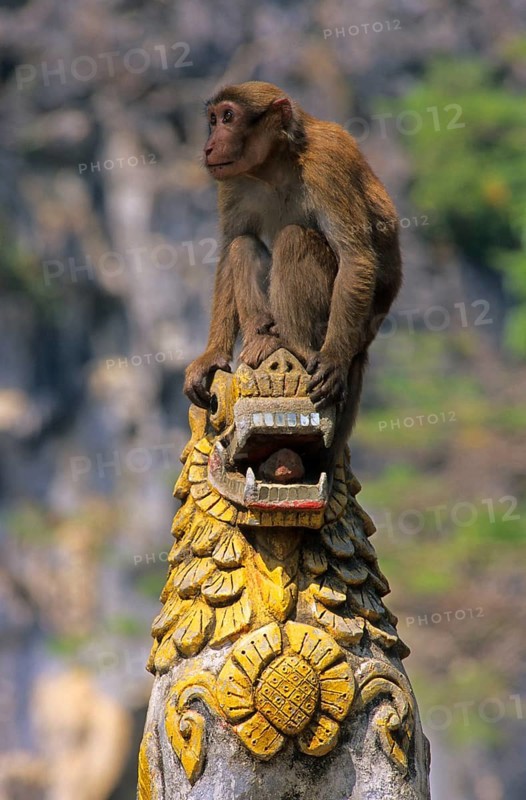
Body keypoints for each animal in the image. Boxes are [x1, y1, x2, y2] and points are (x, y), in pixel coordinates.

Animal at [184, 81, 402, 457]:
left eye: (228, 117)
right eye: (213, 119)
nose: (210, 145)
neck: (276, 163)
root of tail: (363, 346)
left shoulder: (327, 162)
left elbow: (355, 256)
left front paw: (332, 359)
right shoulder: (233, 179)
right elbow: (228, 249)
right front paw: (212, 356)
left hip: (328, 323)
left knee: (294, 238)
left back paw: (293, 343)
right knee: (244, 245)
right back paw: (262, 336)